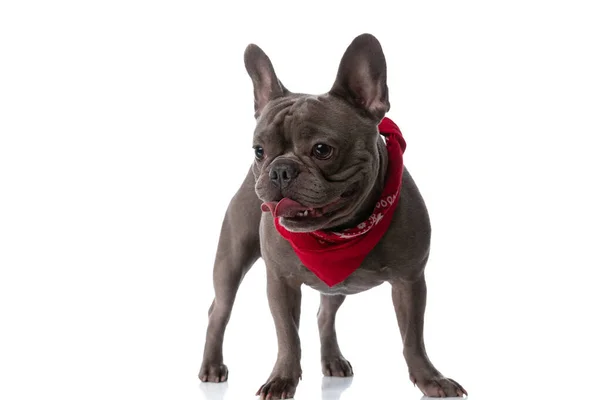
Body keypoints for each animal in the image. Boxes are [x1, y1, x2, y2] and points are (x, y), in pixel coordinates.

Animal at [199, 32, 466, 398]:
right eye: (259, 151)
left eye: (322, 150)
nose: (280, 169)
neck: (341, 231)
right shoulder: (280, 282)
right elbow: (287, 336)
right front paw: (281, 379)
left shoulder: (410, 281)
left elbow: (413, 338)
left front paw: (430, 379)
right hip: (231, 258)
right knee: (219, 310)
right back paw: (212, 366)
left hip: (336, 286)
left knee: (324, 315)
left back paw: (332, 360)